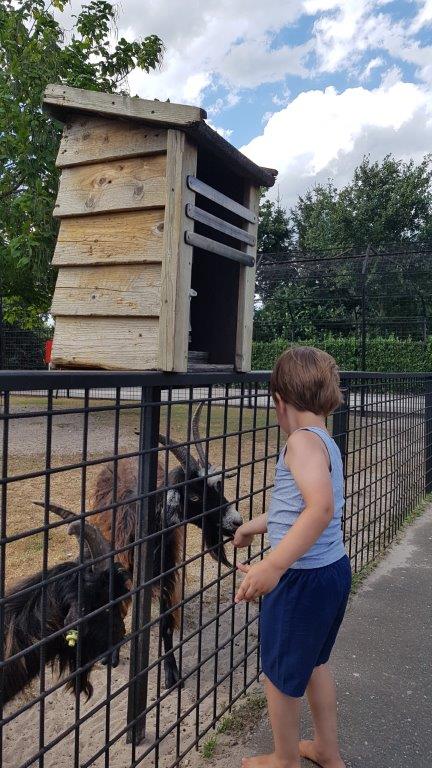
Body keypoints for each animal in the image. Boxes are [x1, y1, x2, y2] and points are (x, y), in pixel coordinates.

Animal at [35, 402, 241, 688]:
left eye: (218, 487)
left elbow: (166, 622)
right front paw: (111, 655)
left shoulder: (166, 571)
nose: (236, 521)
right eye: (194, 496)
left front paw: (171, 672)